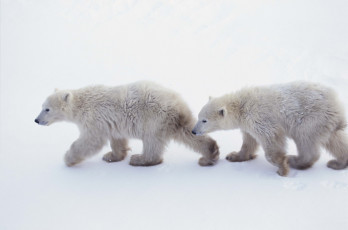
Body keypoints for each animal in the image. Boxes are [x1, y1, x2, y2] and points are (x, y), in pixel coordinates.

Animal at [36, 81, 220, 167]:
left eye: (47, 109)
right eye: (42, 106)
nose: (36, 120)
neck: (82, 103)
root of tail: (177, 104)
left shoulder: (93, 119)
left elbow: (91, 141)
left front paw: (68, 158)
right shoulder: (111, 122)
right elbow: (117, 139)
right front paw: (111, 156)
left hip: (153, 119)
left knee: (152, 142)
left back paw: (140, 159)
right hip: (173, 120)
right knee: (188, 131)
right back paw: (210, 153)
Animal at [193, 82, 348, 177]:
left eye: (204, 120)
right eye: (198, 116)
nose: (194, 131)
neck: (241, 105)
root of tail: (337, 105)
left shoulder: (259, 117)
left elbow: (271, 138)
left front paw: (282, 168)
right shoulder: (248, 124)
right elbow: (249, 141)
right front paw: (234, 156)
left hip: (310, 119)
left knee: (305, 140)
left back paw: (295, 161)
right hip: (325, 122)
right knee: (335, 140)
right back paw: (338, 163)